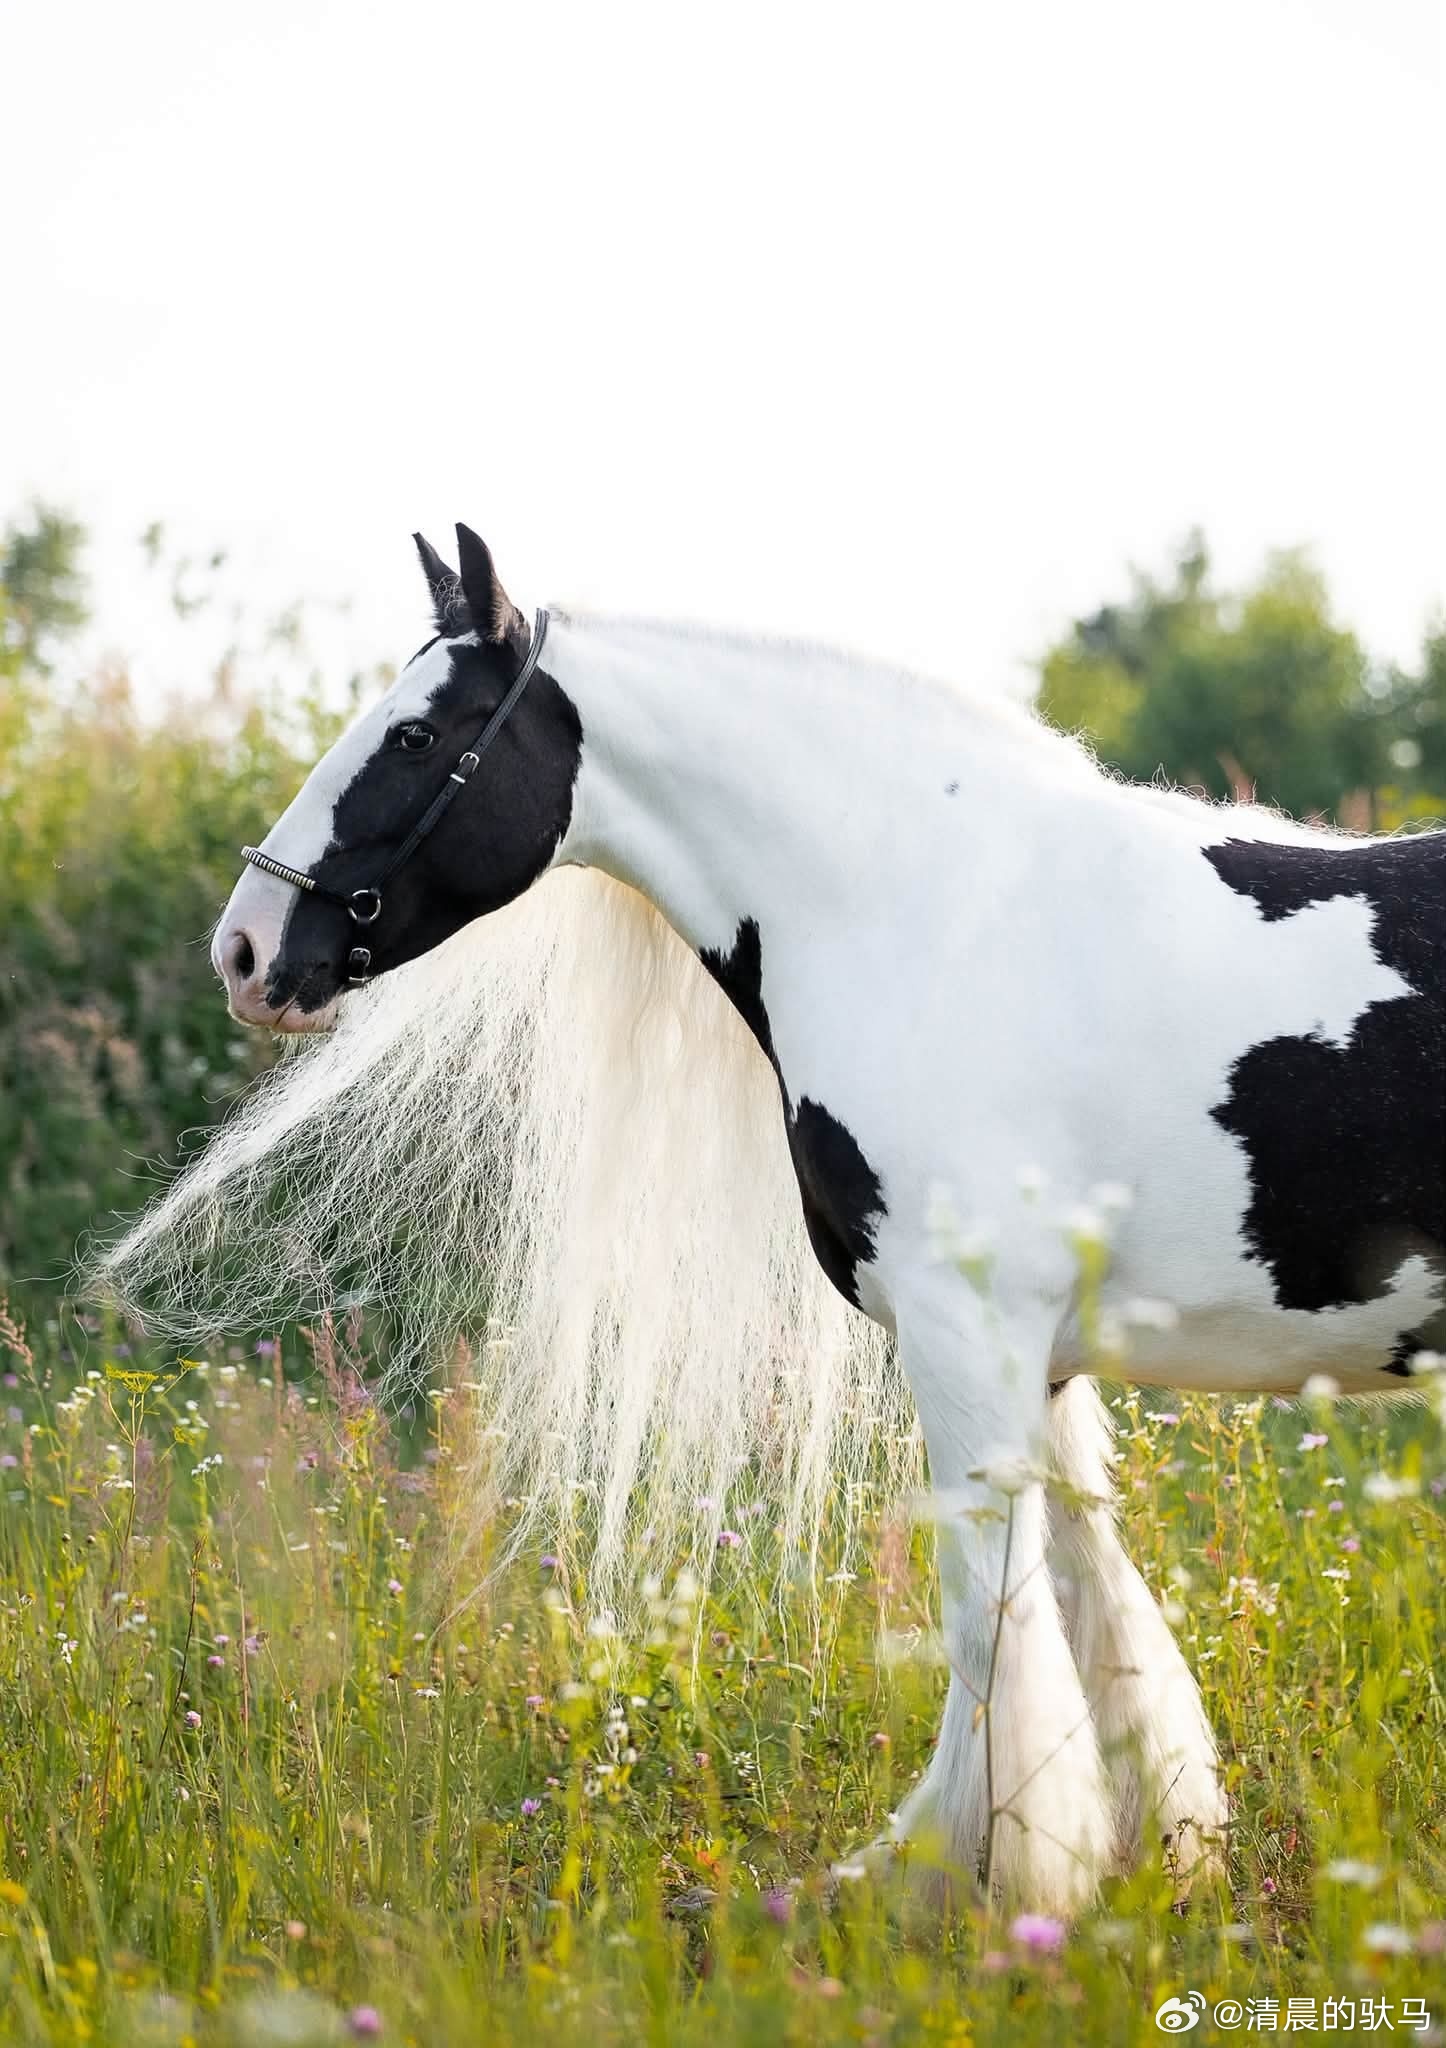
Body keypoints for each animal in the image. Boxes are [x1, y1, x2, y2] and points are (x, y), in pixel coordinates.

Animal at [99, 524, 1445, 1917]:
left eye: (415, 735)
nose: (247, 948)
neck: (939, 921)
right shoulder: (1041, 1362)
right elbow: (1087, 1607)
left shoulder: (966, 1339)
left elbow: (993, 1630)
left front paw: (986, 1888)